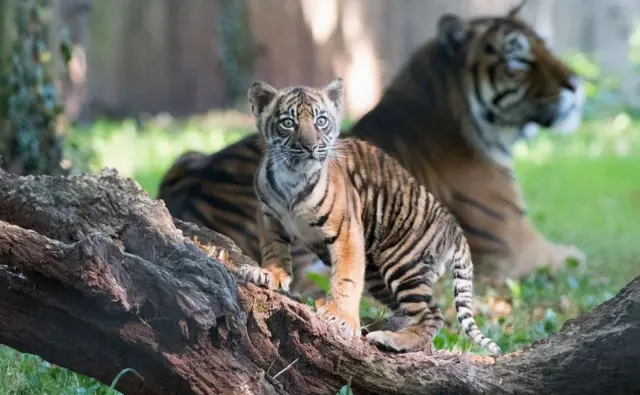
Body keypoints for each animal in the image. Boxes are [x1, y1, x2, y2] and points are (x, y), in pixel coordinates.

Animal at [159, 3, 584, 294]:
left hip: (188, 156)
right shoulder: (514, 246)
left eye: (545, 47)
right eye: (519, 60)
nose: (577, 84)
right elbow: (575, 257)